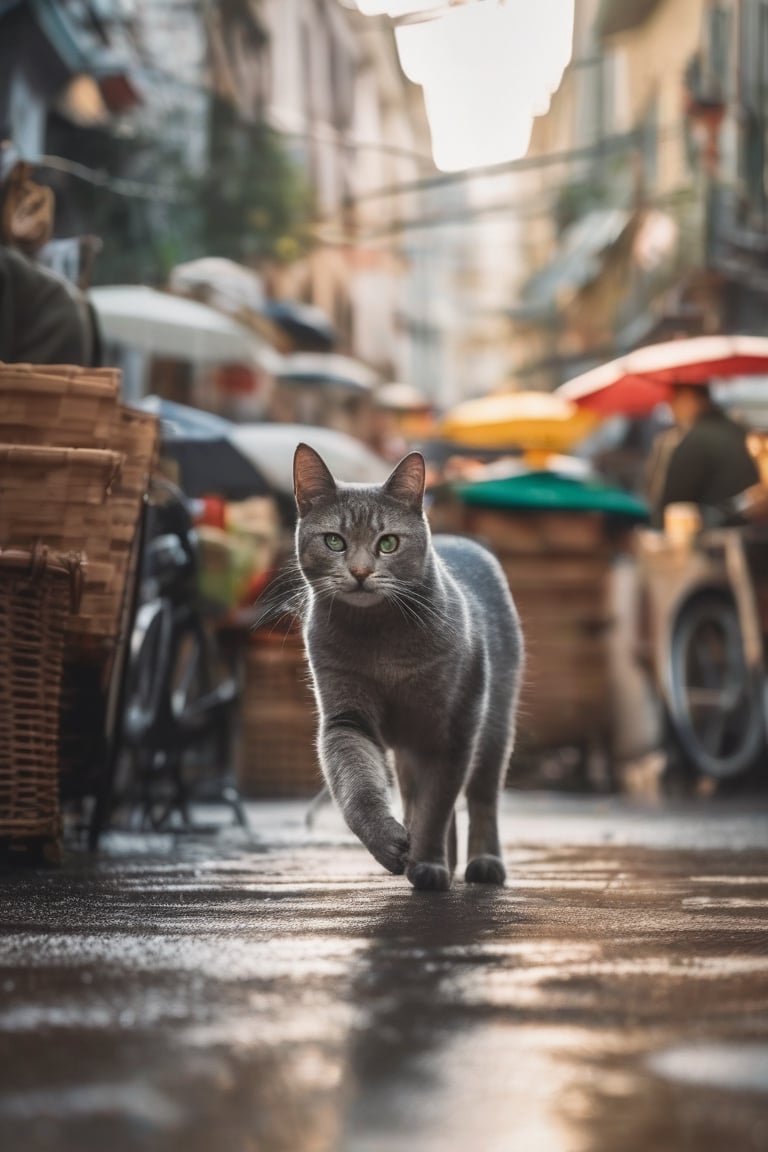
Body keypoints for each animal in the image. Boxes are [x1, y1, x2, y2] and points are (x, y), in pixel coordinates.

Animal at [292, 444, 522, 893]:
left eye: (388, 543)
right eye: (334, 541)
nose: (360, 572)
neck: (381, 643)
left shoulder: (455, 729)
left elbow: (438, 805)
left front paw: (427, 862)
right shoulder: (346, 717)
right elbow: (357, 785)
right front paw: (389, 843)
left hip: (494, 726)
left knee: (481, 798)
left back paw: (481, 864)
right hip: (411, 749)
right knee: (417, 794)